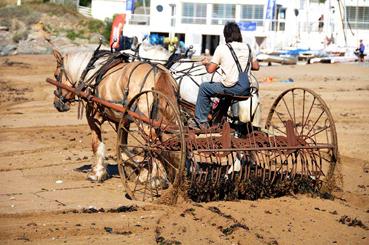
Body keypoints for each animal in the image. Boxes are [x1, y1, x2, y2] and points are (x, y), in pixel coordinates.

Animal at [52, 48, 178, 182]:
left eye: (56, 75)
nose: (56, 104)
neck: (93, 73)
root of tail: (158, 72)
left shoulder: (93, 117)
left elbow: (97, 145)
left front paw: (97, 173)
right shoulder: (122, 122)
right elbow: (123, 148)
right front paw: (137, 170)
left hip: (144, 123)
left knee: (155, 145)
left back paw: (157, 178)